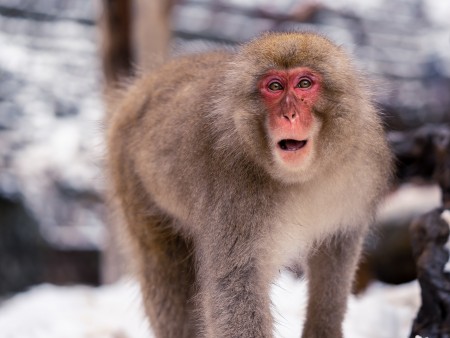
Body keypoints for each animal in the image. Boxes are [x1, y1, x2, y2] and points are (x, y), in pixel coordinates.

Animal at [106, 32, 394, 338]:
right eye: (275, 86)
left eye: (304, 83)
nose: (289, 115)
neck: (301, 178)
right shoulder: (235, 191)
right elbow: (235, 284)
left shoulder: (361, 169)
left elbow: (338, 252)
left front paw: (323, 329)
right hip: (132, 179)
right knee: (162, 268)